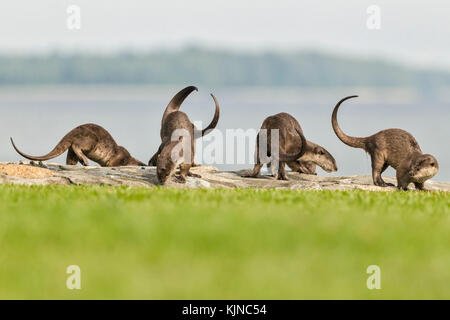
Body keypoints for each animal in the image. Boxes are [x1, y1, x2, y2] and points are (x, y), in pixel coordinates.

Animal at [10, 123, 144, 166]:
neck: (128, 159)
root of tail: (73, 131)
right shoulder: (118, 159)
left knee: (71, 155)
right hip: (91, 139)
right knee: (76, 146)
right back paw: (85, 161)